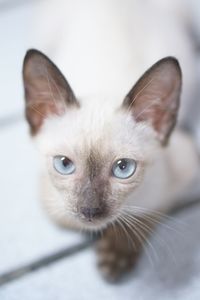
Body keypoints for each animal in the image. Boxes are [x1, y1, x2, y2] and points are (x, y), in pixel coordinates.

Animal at [23, 0, 200, 282]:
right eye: (64, 165)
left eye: (123, 168)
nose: (90, 211)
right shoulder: (52, 202)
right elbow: (68, 220)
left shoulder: (185, 166)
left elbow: (147, 212)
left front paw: (116, 254)